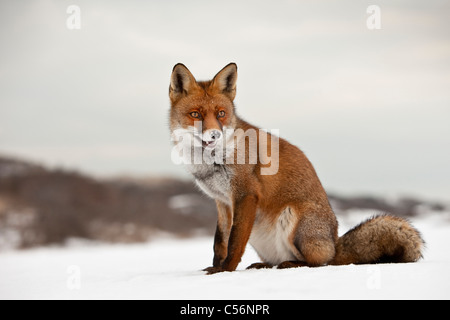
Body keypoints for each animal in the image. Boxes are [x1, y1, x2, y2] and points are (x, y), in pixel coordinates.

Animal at [167, 63, 424, 276]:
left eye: (221, 113)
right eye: (195, 114)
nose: (214, 135)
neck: (210, 163)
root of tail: (335, 243)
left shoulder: (246, 195)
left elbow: (234, 243)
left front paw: (225, 271)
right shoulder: (222, 202)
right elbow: (219, 242)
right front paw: (215, 267)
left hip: (294, 218)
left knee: (319, 263)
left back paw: (293, 264)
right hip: (260, 234)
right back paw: (264, 265)